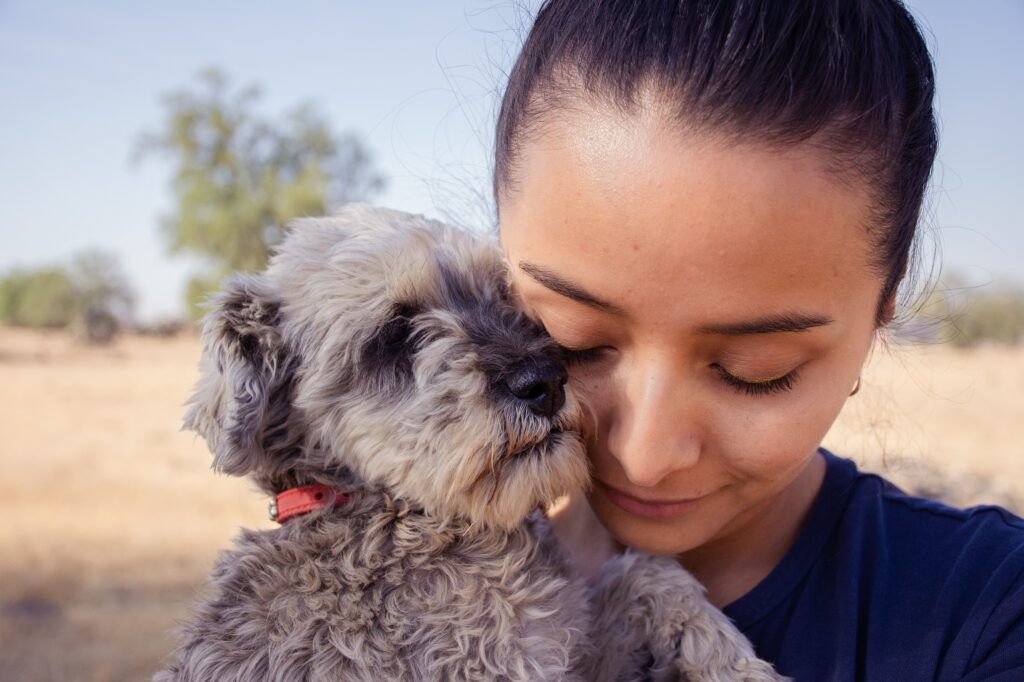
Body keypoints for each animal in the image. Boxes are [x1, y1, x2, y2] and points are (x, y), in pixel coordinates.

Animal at [153, 201, 782, 679]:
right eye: (394, 333)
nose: (545, 382)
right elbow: (639, 573)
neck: (390, 521)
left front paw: (734, 662)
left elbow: (645, 572)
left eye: (503, 297)